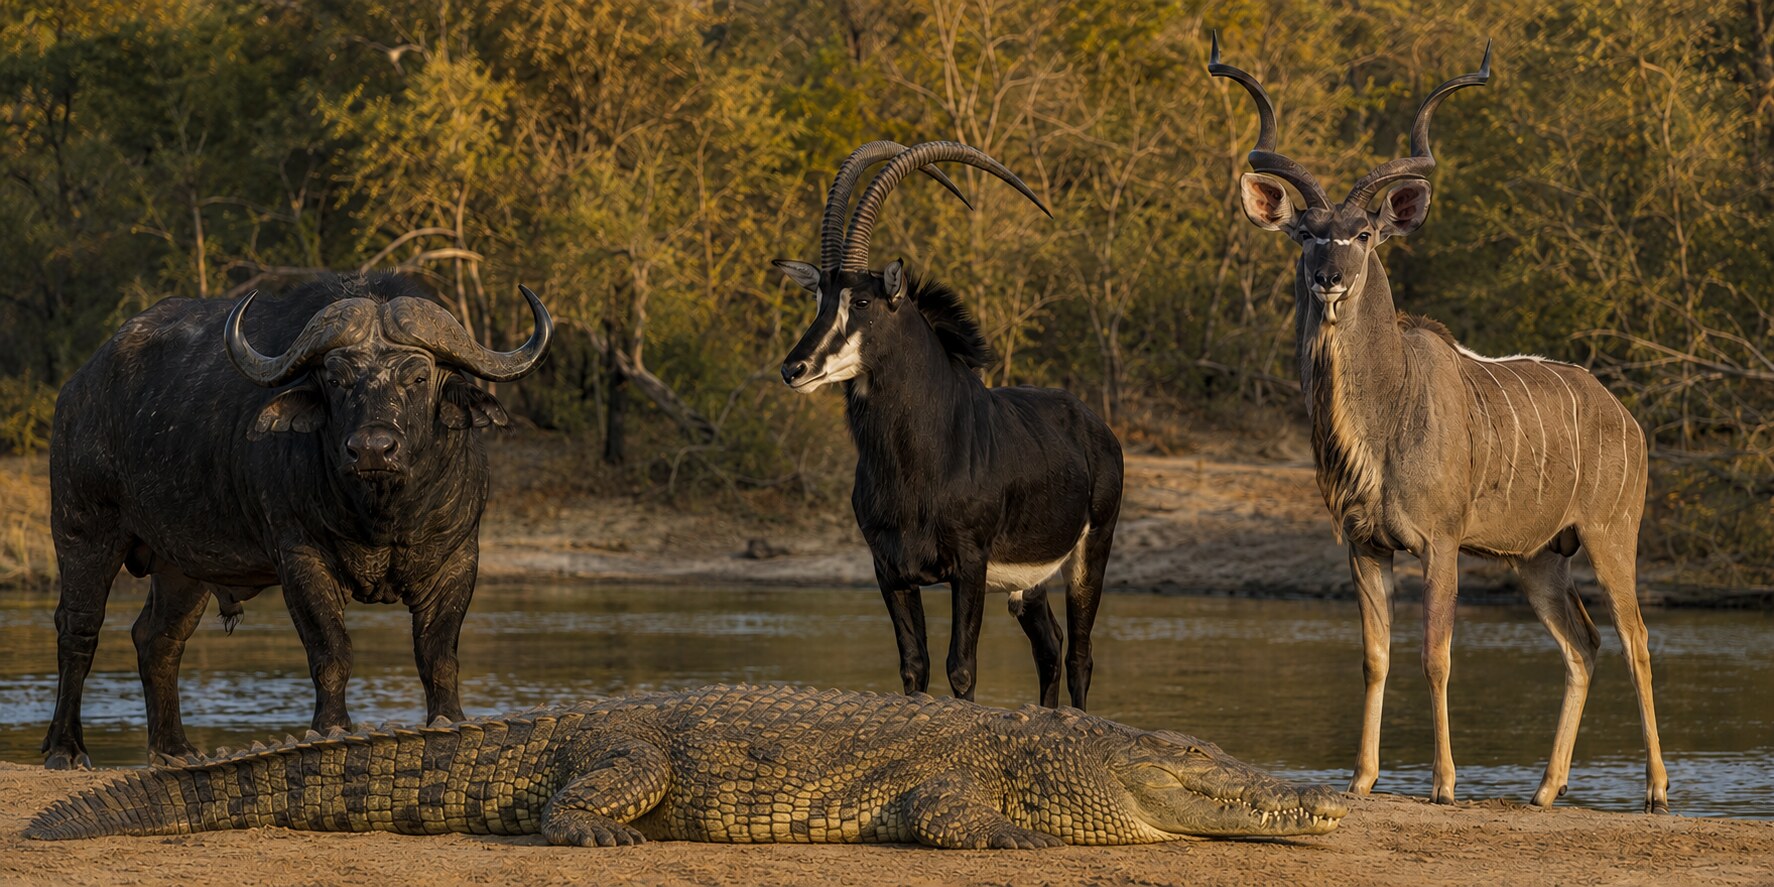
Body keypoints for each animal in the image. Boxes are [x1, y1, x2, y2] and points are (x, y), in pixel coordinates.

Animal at [41, 272, 551, 768]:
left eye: (419, 377)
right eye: (337, 378)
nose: (372, 449)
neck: (382, 514)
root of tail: (79, 388)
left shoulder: (458, 559)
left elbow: (438, 656)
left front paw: (449, 723)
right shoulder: (301, 559)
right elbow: (331, 651)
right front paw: (332, 729)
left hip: (181, 565)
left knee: (158, 638)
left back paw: (174, 749)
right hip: (82, 528)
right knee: (78, 628)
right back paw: (66, 747)